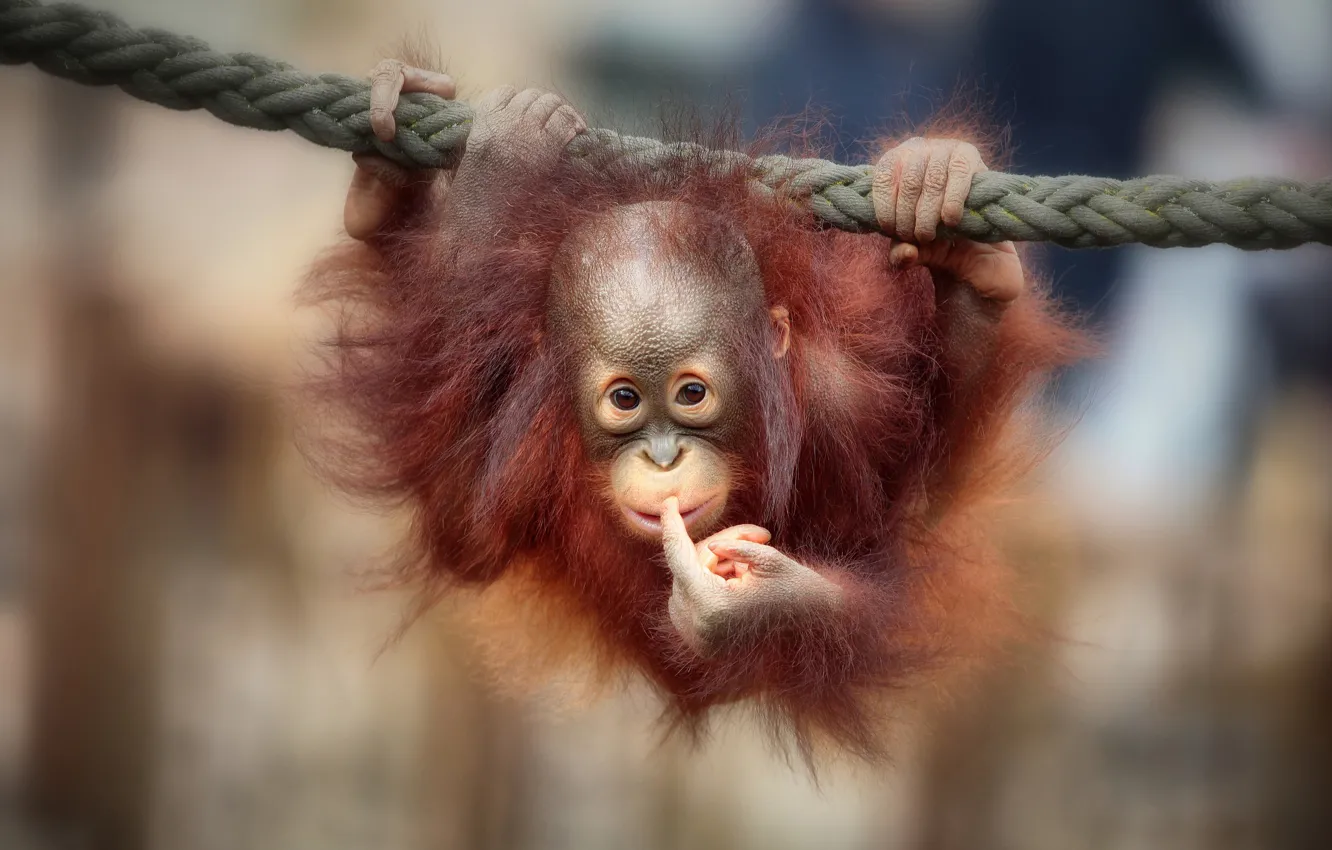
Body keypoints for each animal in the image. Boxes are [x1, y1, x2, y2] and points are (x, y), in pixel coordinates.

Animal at [307, 62, 1082, 763]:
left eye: (691, 394)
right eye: (625, 399)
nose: (663, 457)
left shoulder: (838, 399)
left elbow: (914, 509)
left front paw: (753, 607)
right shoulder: (533, 434)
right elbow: (464, 526)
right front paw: (500, 160)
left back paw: (966, 249)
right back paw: (385, 187)